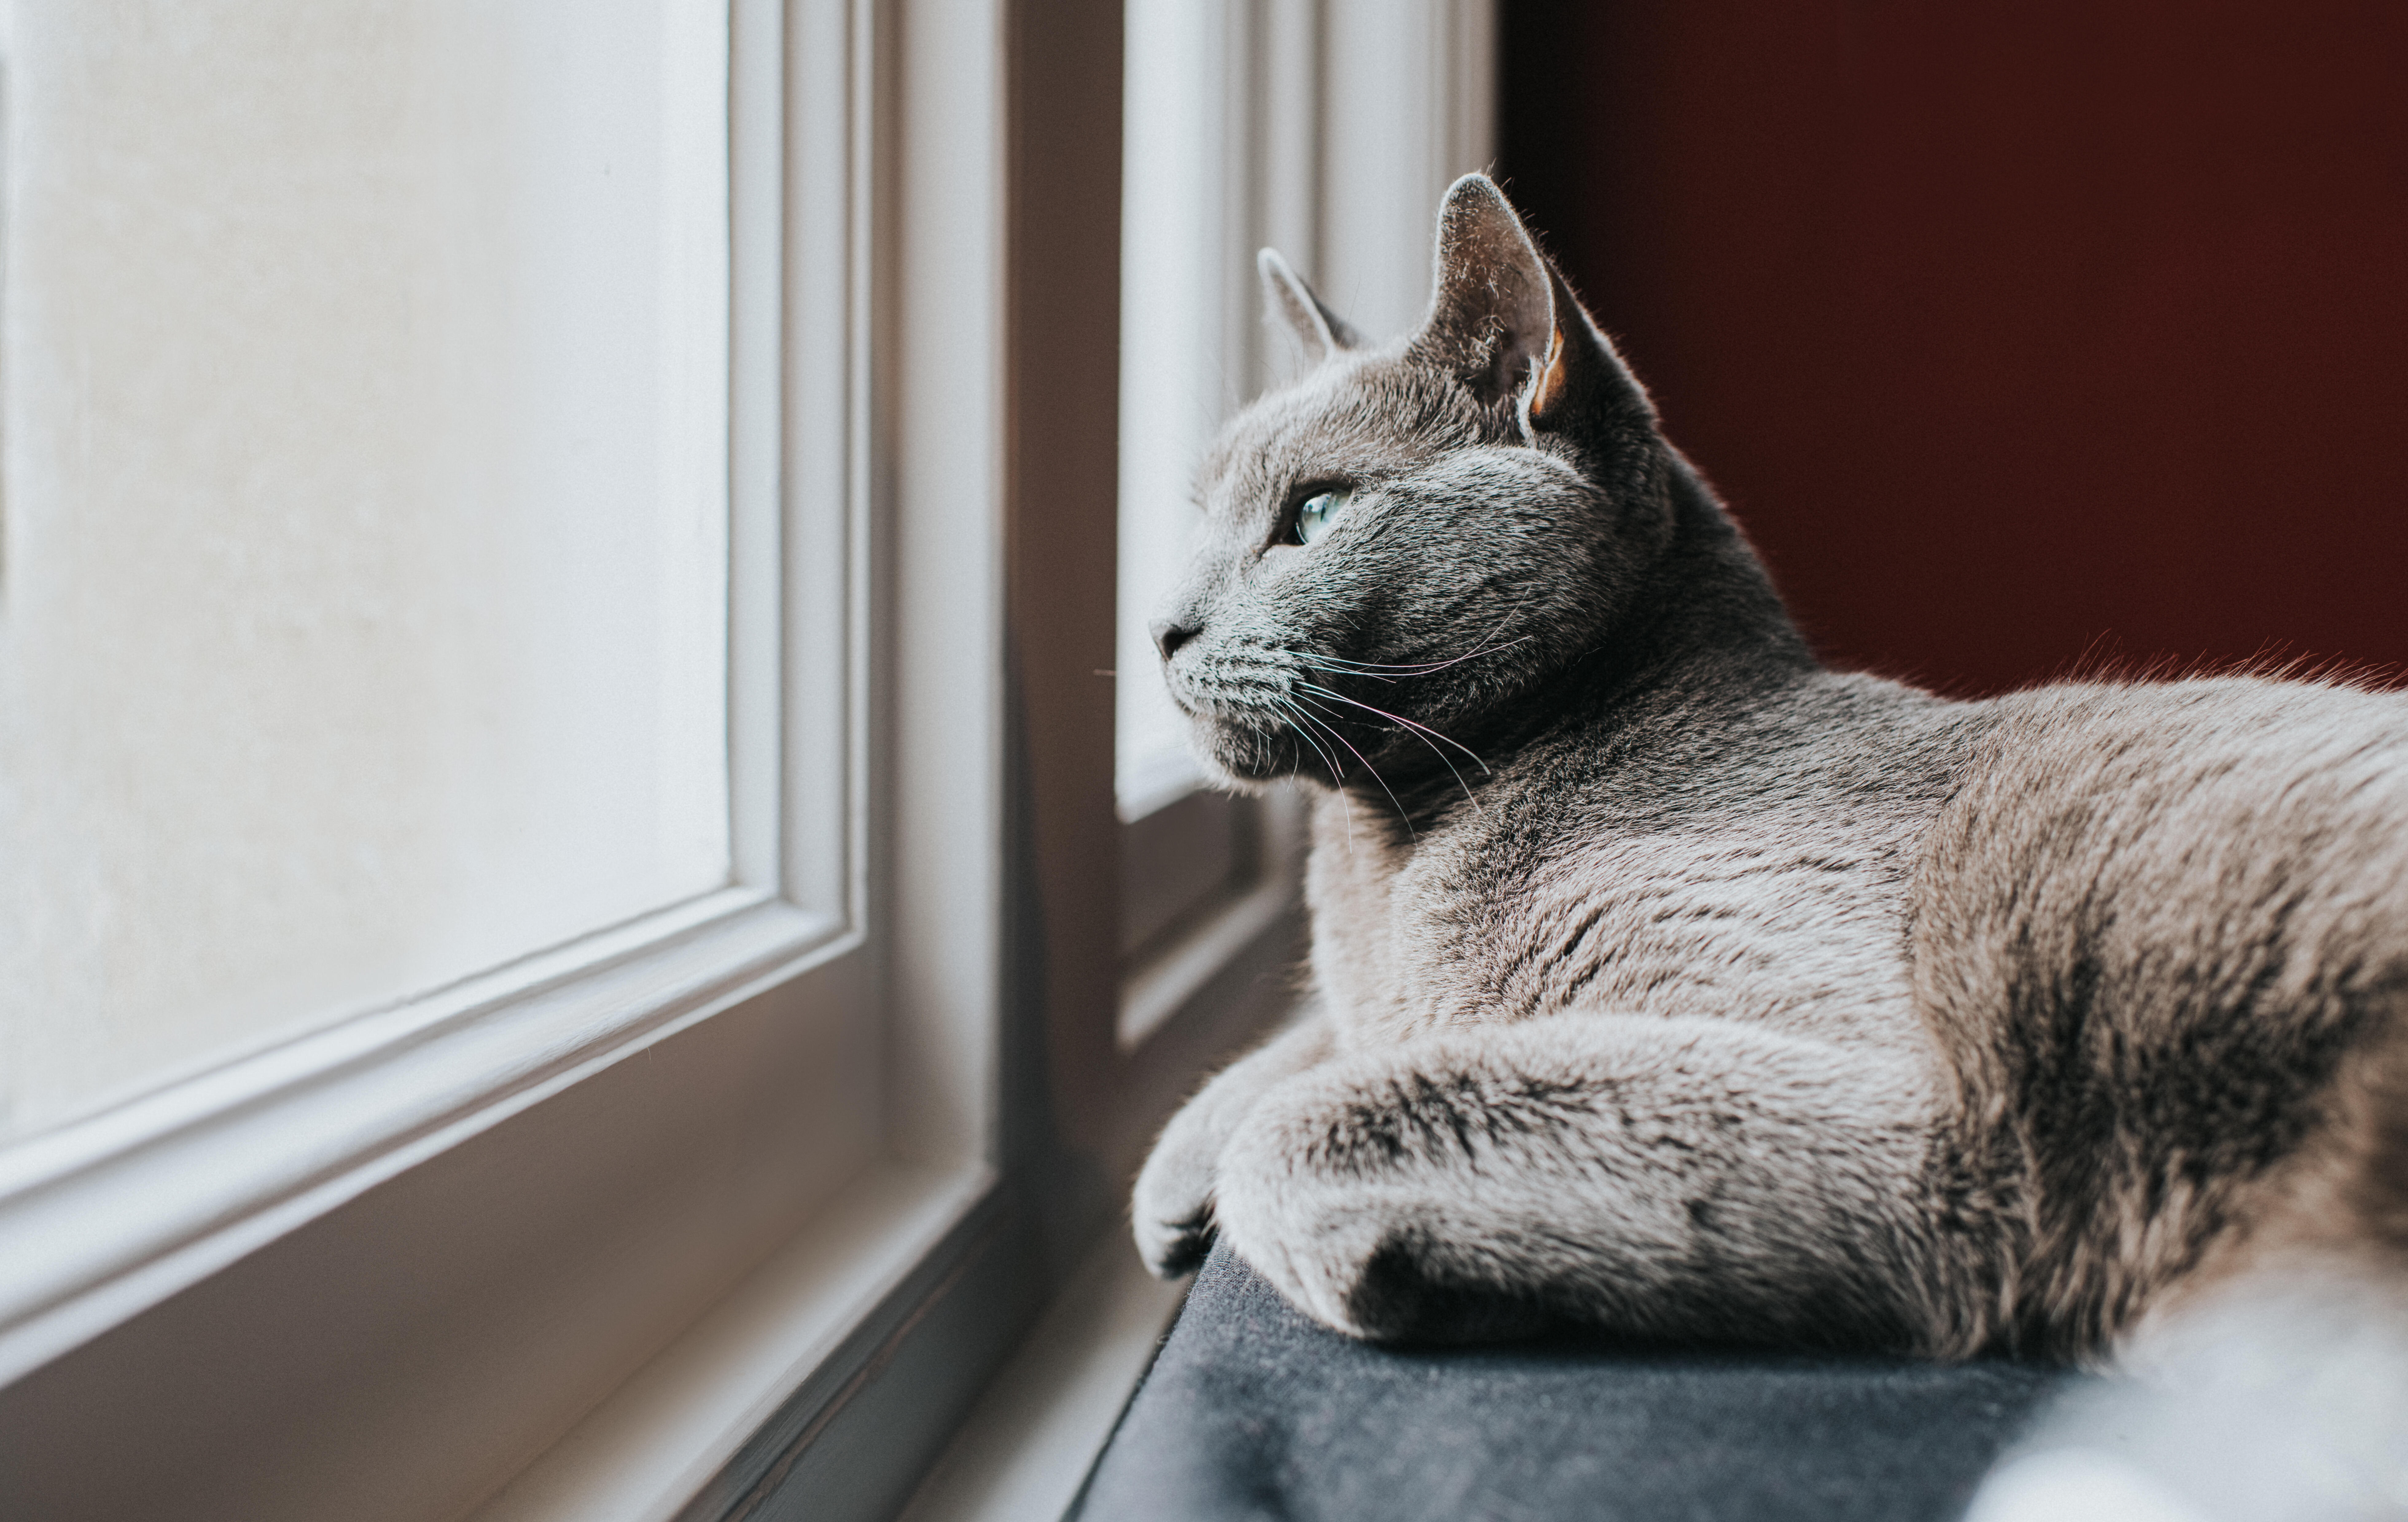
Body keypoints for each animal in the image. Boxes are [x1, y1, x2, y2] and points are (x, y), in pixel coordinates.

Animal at [1136, 176, 2408, 1406]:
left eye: (1313, 514)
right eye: (1199, 522)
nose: (1160, 626)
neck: (1392, 851)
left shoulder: (1903, 1103)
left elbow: (1315, 1126)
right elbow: (1332, 1036)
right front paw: (1179, 1162)